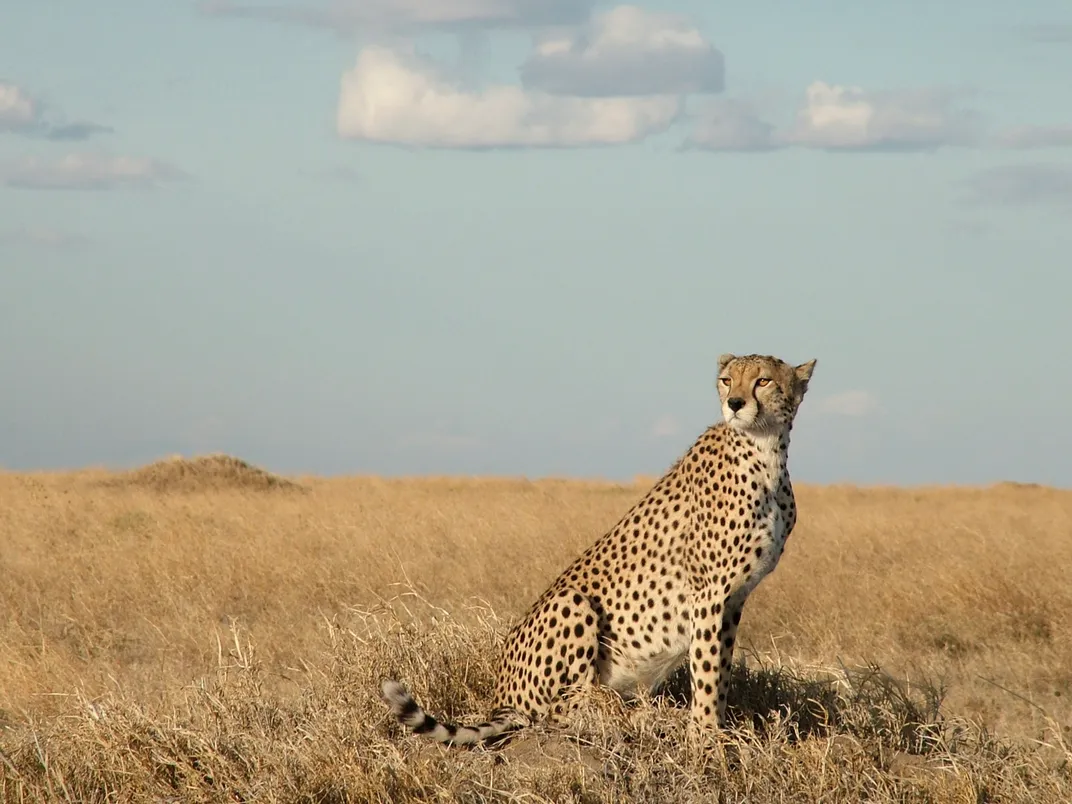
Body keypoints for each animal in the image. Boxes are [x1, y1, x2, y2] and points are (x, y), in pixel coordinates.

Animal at [381, 352, 817, 746]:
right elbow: (708, 670)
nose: (735, 403)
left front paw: (716, 726)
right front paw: (707, 734)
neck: (766, 451)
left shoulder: (733, 597)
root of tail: (501, 695)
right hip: (571, 602)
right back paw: (618, 708)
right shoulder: (709, 592)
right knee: (557, 708)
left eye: (763, 380)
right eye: (727, 380)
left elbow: (721, 667)